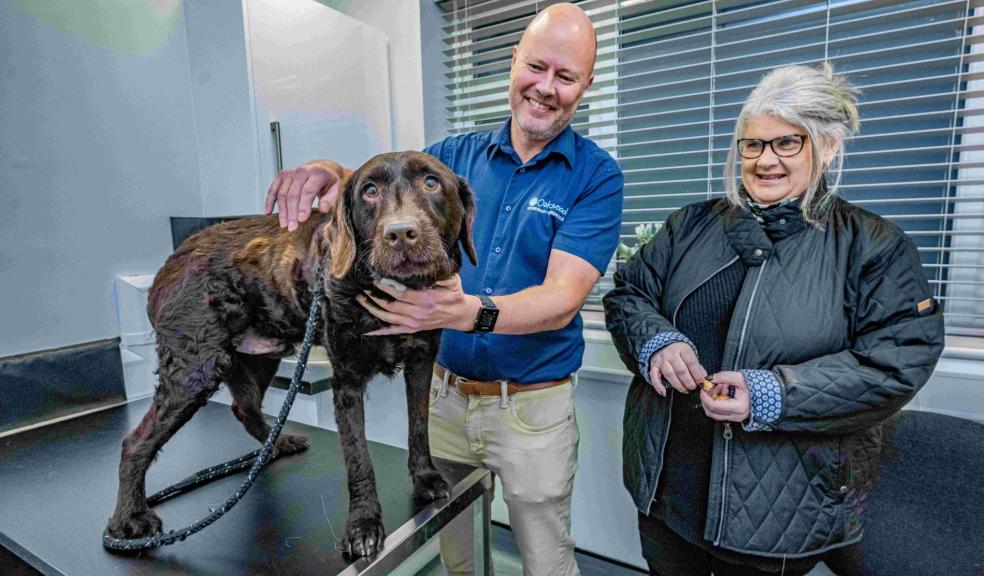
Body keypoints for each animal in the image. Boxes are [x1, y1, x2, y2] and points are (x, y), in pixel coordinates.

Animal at [105, 152, 474, 560]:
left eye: (431, 182)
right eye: (369, 191)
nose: (401, 233)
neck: (383, 291)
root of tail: (168, 263)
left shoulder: (421, 363)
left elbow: (418, 428)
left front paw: (425, 478)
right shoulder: (346, 382)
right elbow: (359, 458)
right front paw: (363, 524)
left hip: (262, 357)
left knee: (244, 409)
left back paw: (277, 445)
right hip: (194, 372)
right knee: (135, 443)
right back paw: (129, 518)